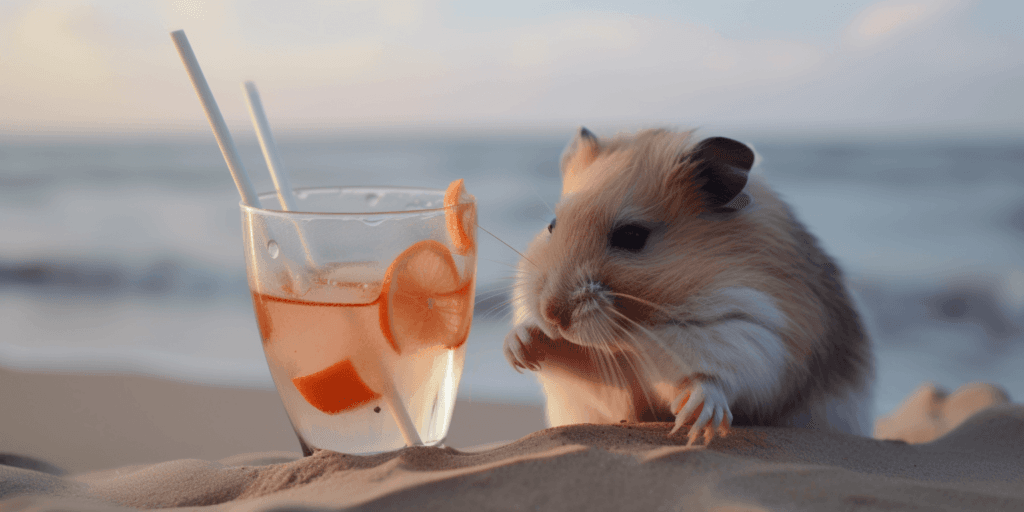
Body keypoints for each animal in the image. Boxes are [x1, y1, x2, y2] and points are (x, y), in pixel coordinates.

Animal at [503, 127, 874, 445]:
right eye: (552, 225)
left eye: (632, 236)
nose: (552, 314)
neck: (639, 333)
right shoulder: (610, 385)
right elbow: (575, 363)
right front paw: (518, 345)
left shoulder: (756, 336)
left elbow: (717, 379)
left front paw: (694, 419)